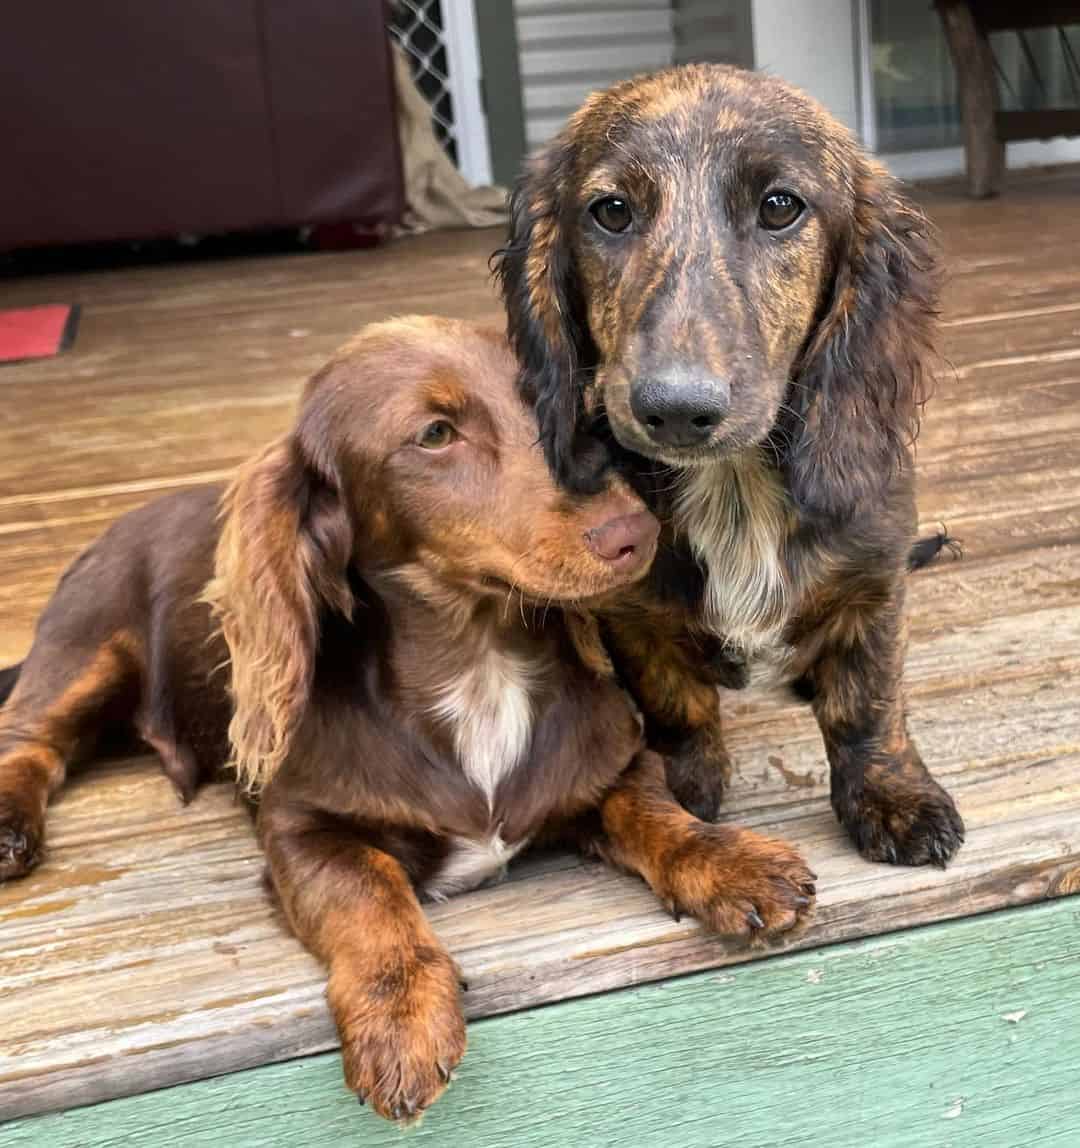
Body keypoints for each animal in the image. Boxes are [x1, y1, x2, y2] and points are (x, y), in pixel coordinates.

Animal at [0, 316, 807, 1120]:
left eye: (557, 406)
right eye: (435, 434)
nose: (633, 533)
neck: (479, 663)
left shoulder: (612, 763)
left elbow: (658, 814)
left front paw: (732, 861)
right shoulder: (300, 829)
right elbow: (370, 892)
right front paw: (401, 1013)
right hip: (85, 649)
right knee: (33, 738)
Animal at [493, 62, 964, 863]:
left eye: (780, 207)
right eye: (611, 211)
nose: (677, 408)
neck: (735, 485)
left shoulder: (874, 582)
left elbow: (869, 703)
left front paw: (894, 796)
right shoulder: (633, 612)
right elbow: (675, 704)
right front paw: (685, 792)